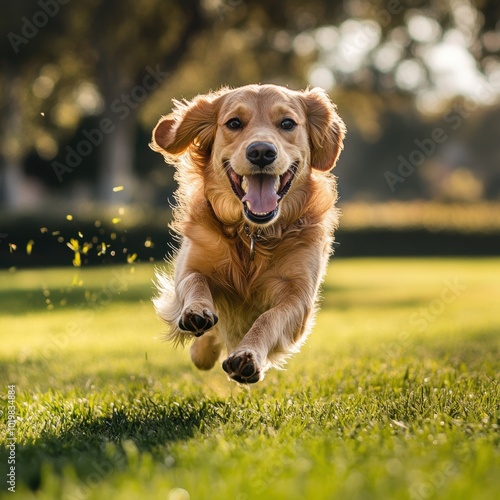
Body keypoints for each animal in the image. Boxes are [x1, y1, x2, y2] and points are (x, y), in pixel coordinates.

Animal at [150, 85, 346, 382]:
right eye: (234, 123)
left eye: (287, 123)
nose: (261, 152)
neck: (254, 234)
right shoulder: (192, 262)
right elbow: (194, 280)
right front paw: (196, 310)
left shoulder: (298, 296)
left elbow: (268, 319)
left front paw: (247, 356)